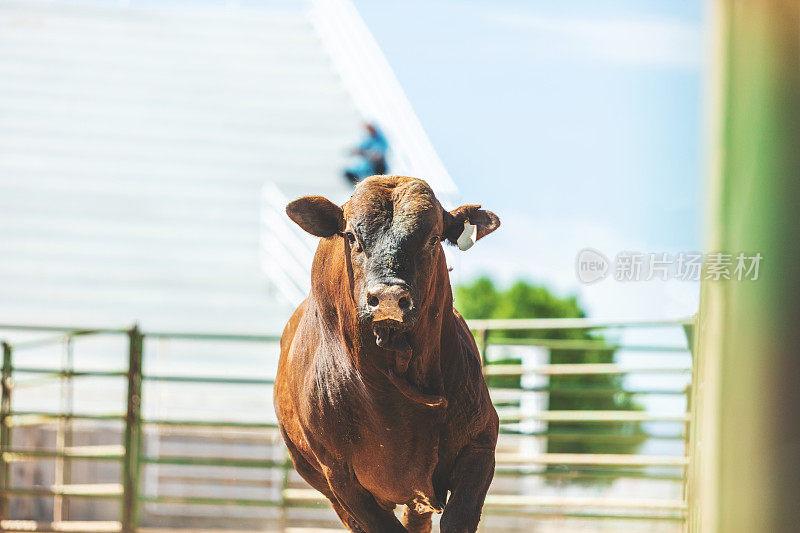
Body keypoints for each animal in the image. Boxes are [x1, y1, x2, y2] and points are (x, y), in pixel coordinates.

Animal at [276, 177, 500, 528]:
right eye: (350, 235)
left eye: (433, 238)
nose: (388, 297)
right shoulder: (342, 479)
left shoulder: (480, 444)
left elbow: (458, 518)